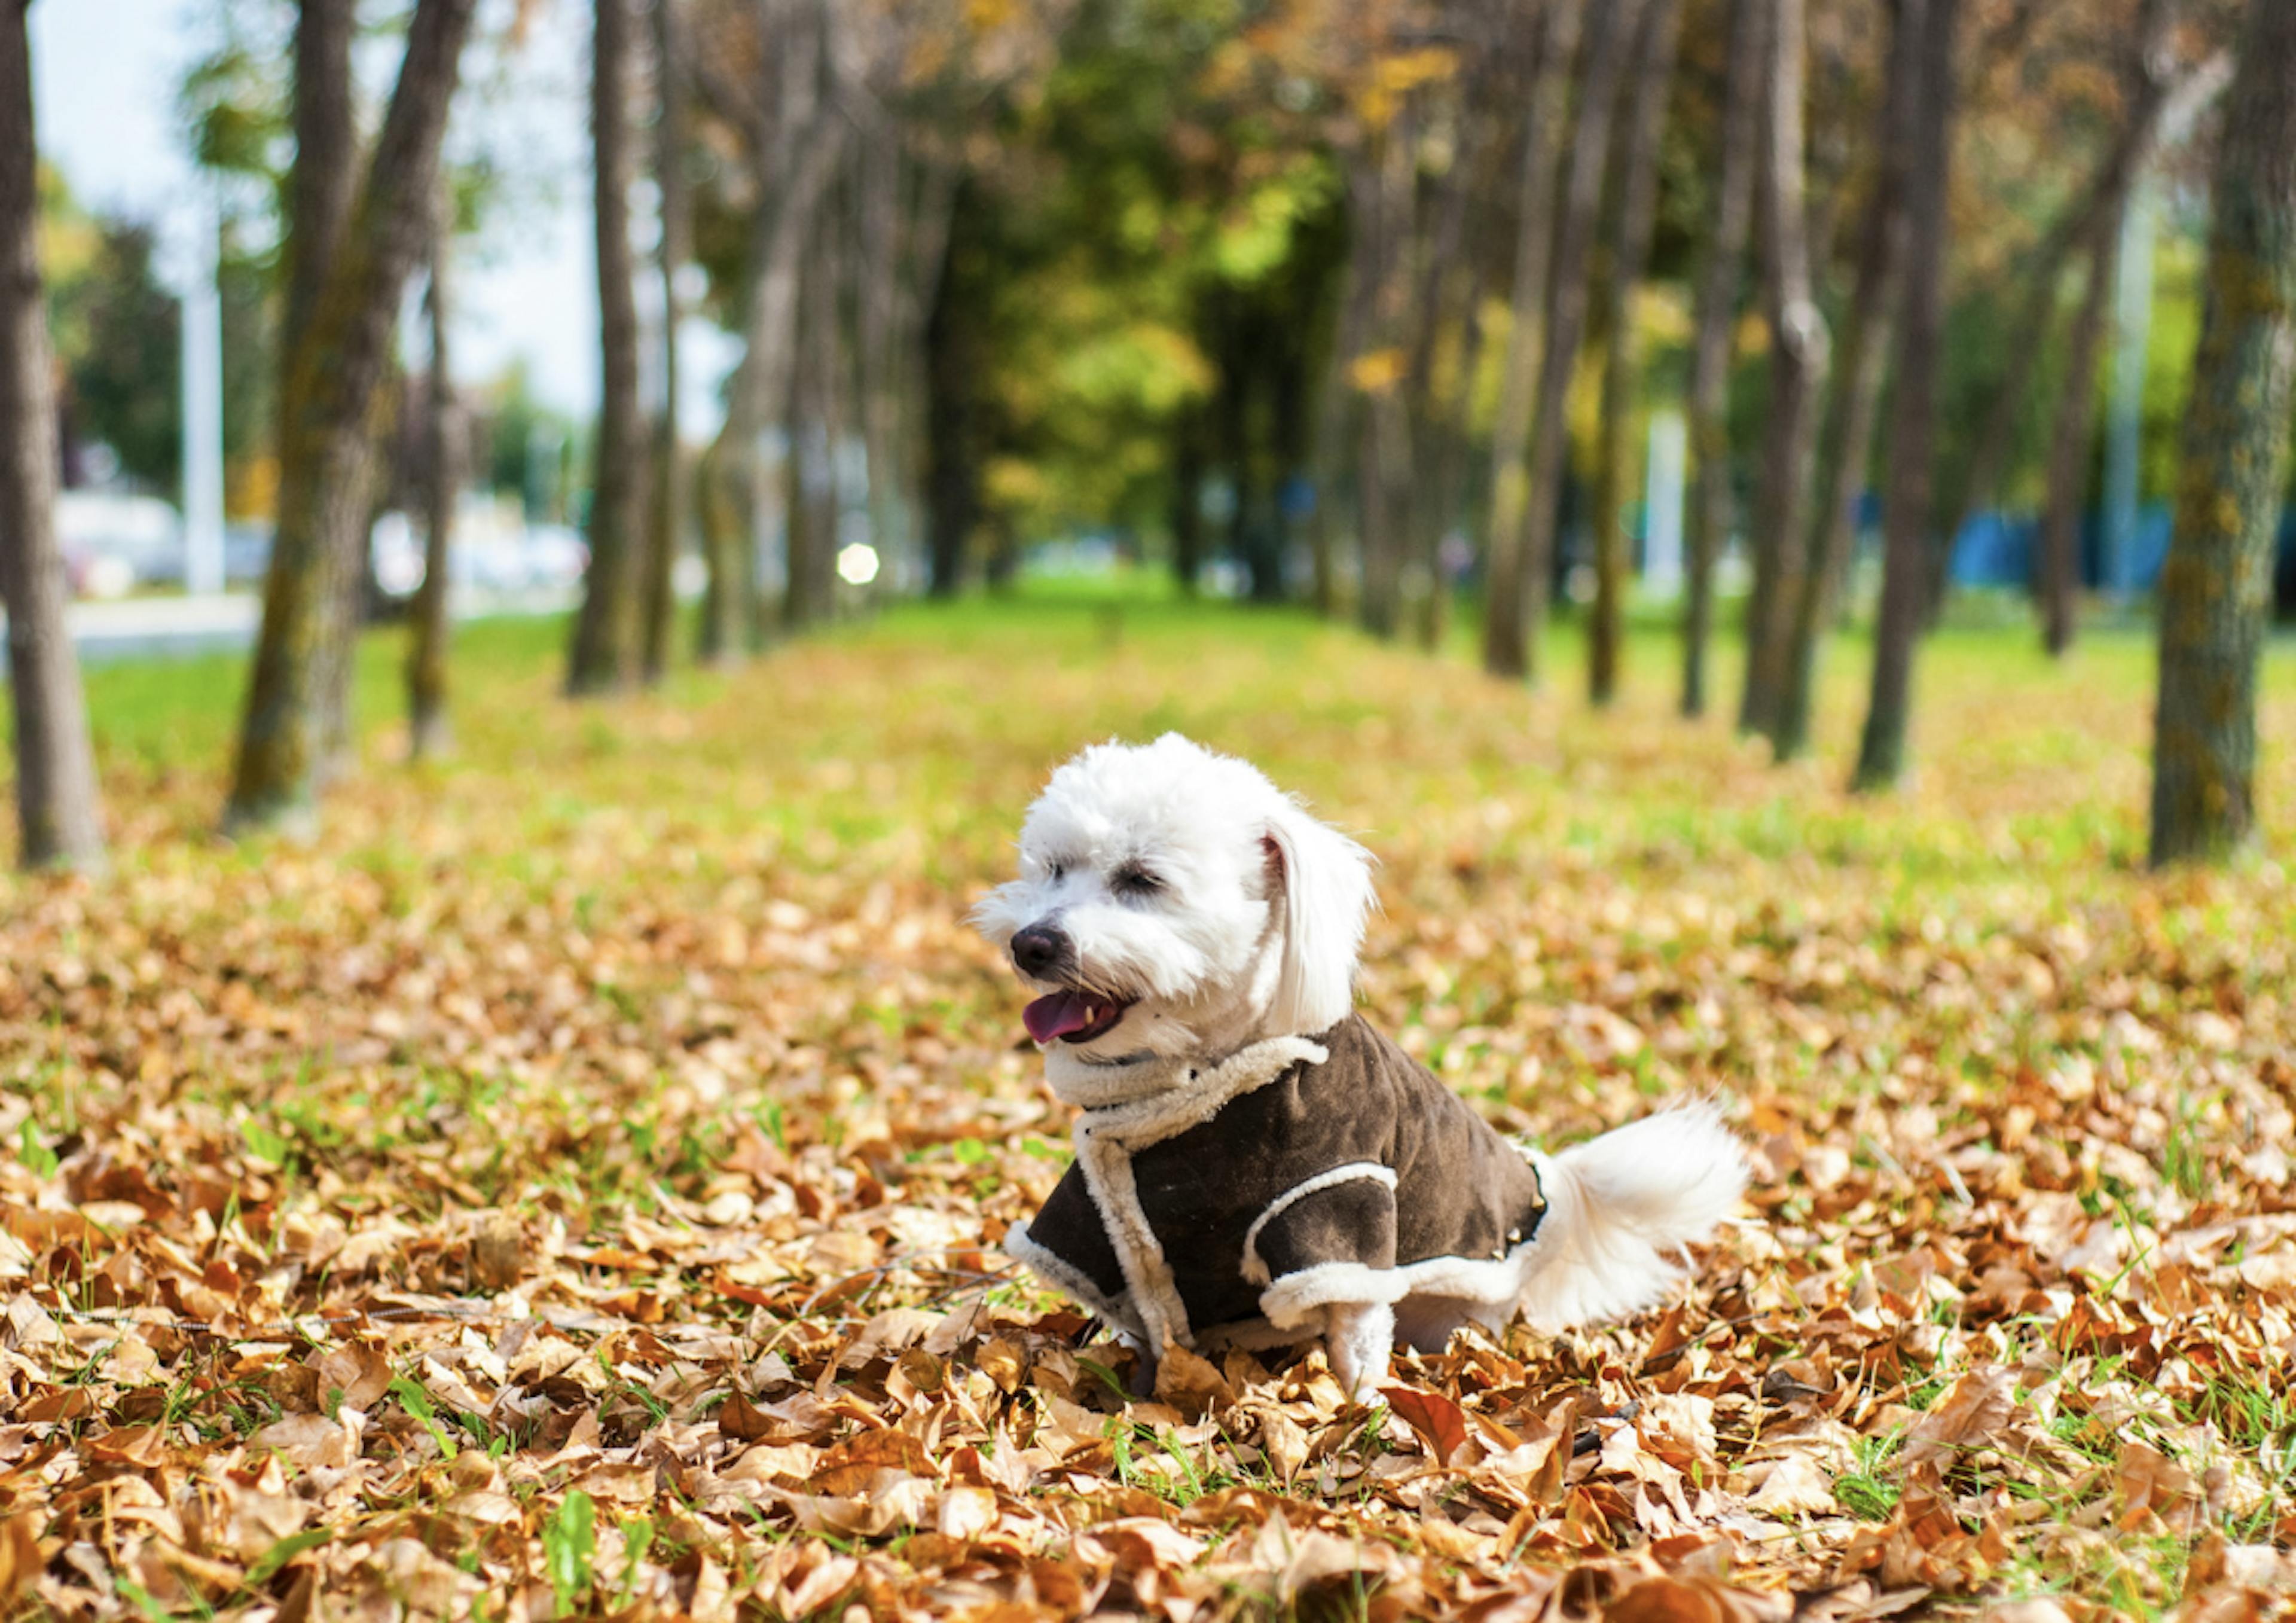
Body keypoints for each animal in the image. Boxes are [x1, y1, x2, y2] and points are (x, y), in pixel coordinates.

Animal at [969, 734, 1736, 1395]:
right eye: (1054, 867)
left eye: (1142, 878)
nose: (1030, 943)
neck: (1199, 1082)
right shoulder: (1108, 1216)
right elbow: (1148, 1324)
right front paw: (1146, 1397)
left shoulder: (1340, 1199)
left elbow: (1357, 1340)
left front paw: (1358, 1416)